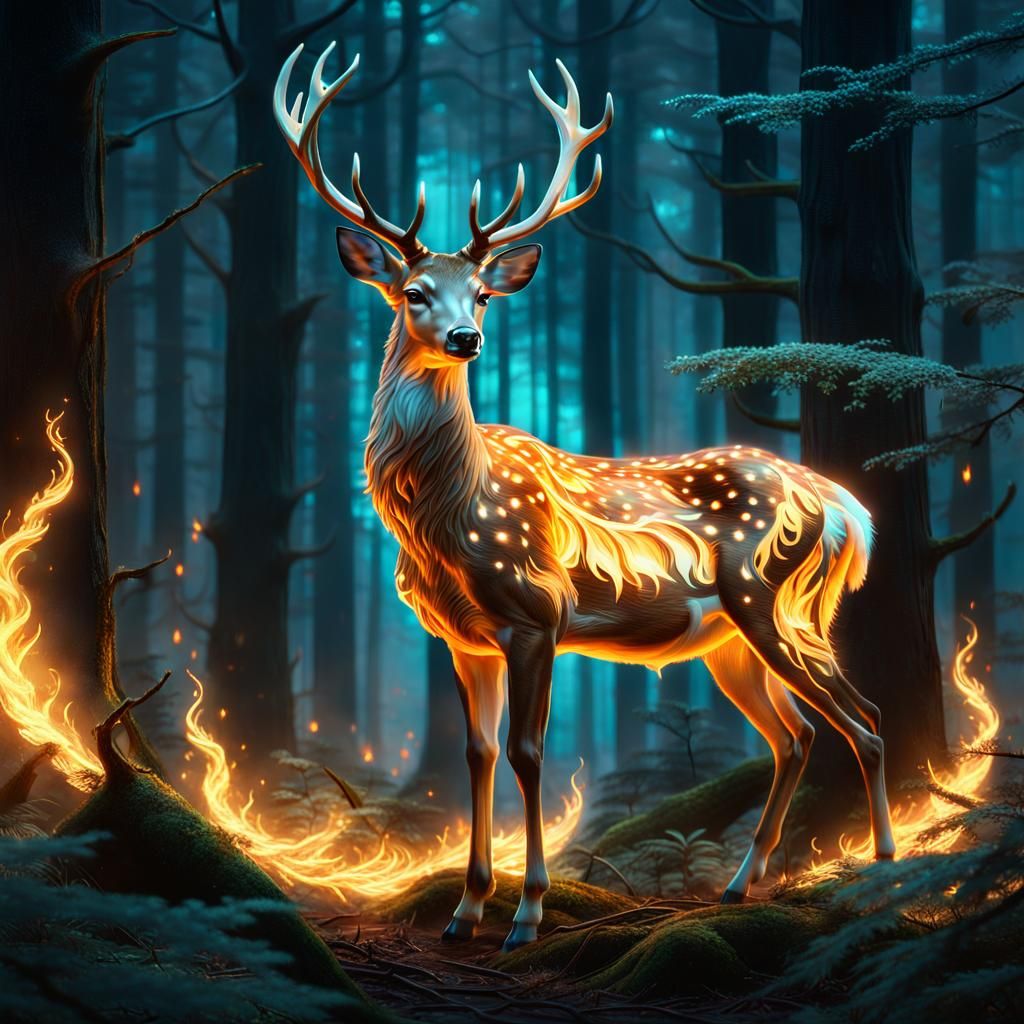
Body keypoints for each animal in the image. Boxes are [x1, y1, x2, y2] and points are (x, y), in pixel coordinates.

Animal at [274, 42, 897, 951]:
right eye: (414, 292)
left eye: (483, 293)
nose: (467, 337)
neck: (443, 519)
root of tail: (844, 504)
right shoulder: (459, 638)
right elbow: (478, 754)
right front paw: (465, 909)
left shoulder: (539, 613)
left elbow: (530, 753)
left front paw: (527, 913)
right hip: (730, 640)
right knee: (799, 734)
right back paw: (740, 884)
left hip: (775, 599)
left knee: (865, 720)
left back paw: (885, 872)